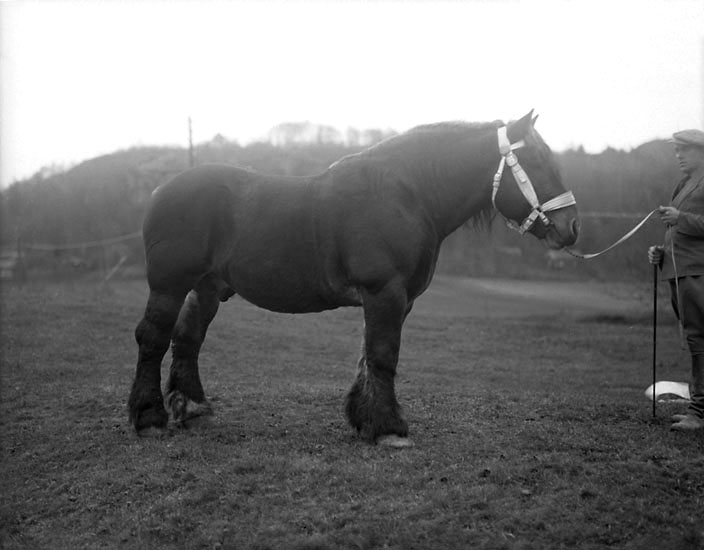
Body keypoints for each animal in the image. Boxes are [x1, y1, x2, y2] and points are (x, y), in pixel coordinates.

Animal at [129, 112, 580, 448]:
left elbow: (368, 355)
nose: (571, 227)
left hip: (206, 288)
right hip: (169, 285)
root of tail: (158, 191)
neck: (406, 195)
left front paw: (365, 420)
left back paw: (193, 410)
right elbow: (383, 355)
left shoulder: (397, 300)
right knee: (153, 337)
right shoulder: (385, 292)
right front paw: (390, 430)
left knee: (187, 339)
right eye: (537, 163)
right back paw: (148, 418)